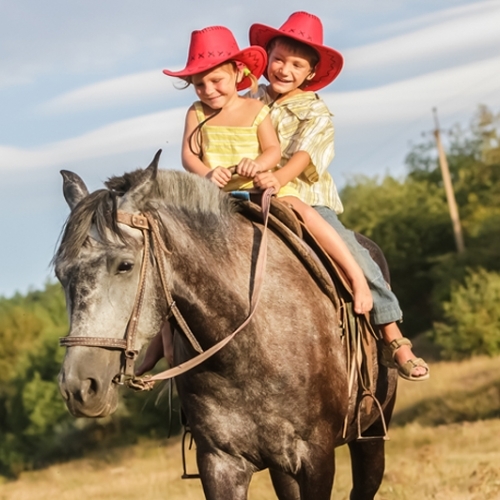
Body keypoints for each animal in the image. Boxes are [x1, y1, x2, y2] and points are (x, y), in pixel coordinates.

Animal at [56, 153, 396, 500]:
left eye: (124, 265)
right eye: (60, 274)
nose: (79, 387)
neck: (246, 347)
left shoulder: (317, 456)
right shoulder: (220, 463)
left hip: (371, 433)